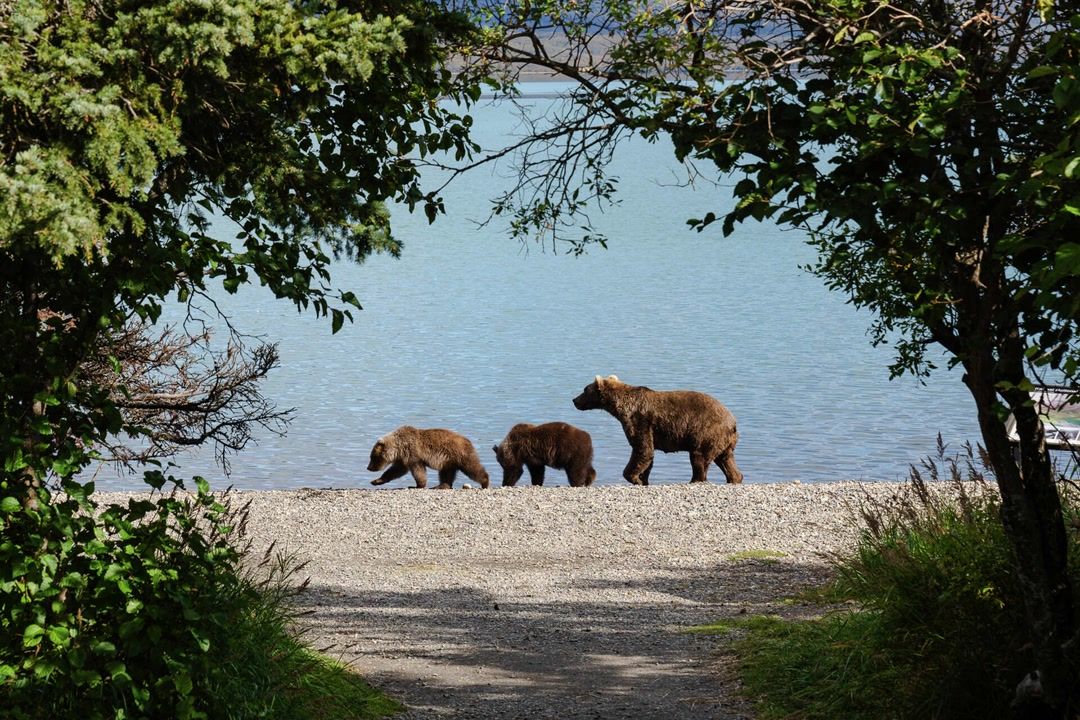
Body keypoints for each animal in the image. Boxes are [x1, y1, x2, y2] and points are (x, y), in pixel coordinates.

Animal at [572, 375, 743, 485]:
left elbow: (642, 449)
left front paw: (634, 477)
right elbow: (648, 455)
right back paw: (735, 478)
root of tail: (733, 422)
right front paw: (643, 479)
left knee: (699, 458)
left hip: (706, 432)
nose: (574, 400)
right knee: (725, 459)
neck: (620, 407)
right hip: (723, 441)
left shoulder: (639, 420)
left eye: (585, 389)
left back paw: (694, 480)